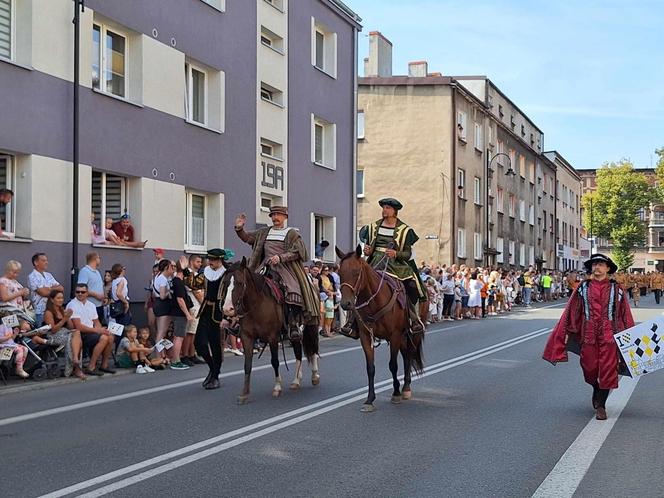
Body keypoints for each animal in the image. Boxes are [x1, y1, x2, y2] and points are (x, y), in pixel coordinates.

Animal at [219, 256, 320, 404]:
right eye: (225, 283)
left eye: (240, 283)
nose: (227, 310)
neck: (257, 304)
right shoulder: (246, 337)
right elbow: (247, 365)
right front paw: (244, 393)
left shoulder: (272, 337)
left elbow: (275, 361)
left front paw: (277, 387)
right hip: (294, 334)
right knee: (298, 351)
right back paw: (296, 380)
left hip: (311, 325)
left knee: (312, 349)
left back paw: (314, 376)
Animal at [338, 245, 426, 412]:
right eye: (339, 273)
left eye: (356, 272)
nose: (346, 304)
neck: (374, 301)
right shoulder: (366, 336)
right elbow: (370, 368)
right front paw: (369, 400)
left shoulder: (395, 335)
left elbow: (393, 365)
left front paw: (396, 393)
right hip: (403, 337)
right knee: (406, 356)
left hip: (412, 334)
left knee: (409, 354)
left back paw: (406, 388)